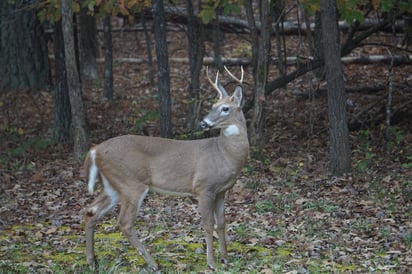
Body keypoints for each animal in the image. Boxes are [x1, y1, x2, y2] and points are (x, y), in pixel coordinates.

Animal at [83, 66, 249, 270]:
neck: (225, 154)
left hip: (112, 185)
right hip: (131, 183)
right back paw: (153, 263)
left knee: (91, 211)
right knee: (124, 223)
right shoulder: (204, 187)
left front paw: (226, 258)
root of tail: (95, 150)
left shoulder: (221, 191)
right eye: (213, 106)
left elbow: (222, 223)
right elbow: (208, 224)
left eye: (225, 108)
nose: (203, 123)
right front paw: (211, 263)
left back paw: (92, 261)